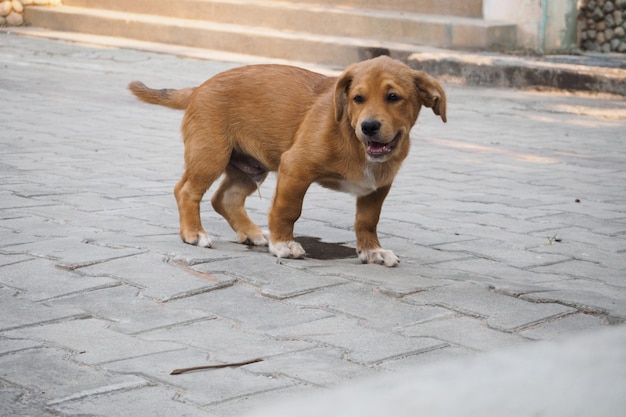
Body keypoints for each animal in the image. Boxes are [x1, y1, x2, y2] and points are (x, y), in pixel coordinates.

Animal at [129, 56, 444, 266]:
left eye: (393, 97)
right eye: (358, 98)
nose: (368, 127)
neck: (353, 138)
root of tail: (198, 87)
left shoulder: (378, 186)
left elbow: (367, 221)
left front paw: (371, 251)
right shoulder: (295, 167)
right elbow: (288, 210)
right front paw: (283, 245)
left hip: (251, 167)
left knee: (225, 198)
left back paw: (251, 233)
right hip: (210, 155)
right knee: (186, 191)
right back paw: (193, 233)